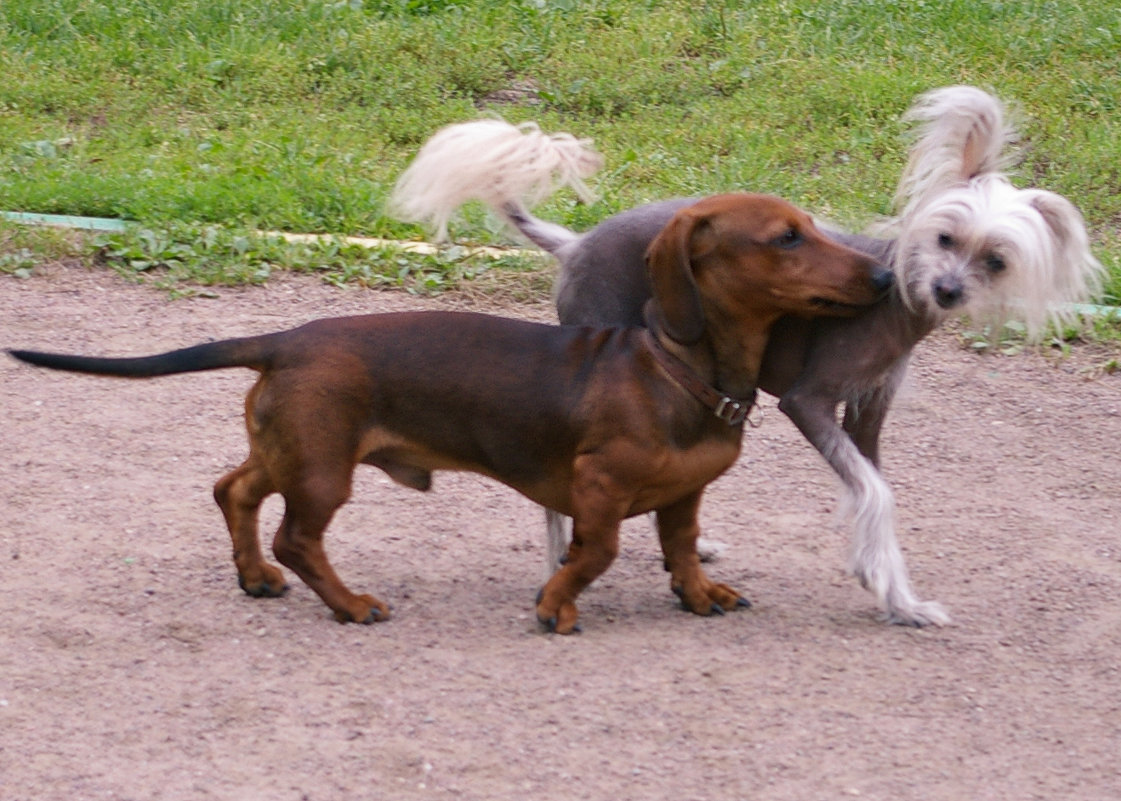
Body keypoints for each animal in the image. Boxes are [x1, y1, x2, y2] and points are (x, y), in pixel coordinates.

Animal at [4, 193, 887, 631]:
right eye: (785, 238)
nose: (882, 276)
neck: (676, 365)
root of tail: (286, 339)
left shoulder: (685, 494)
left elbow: (679, 546)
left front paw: (700, 593)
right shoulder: (598, 490)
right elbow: (595, 552)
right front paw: (555, 604)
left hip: (292, 447)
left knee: (235, 490)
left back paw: (254, 577)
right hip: (323, 470)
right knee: (297, 536)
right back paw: (350, 604)